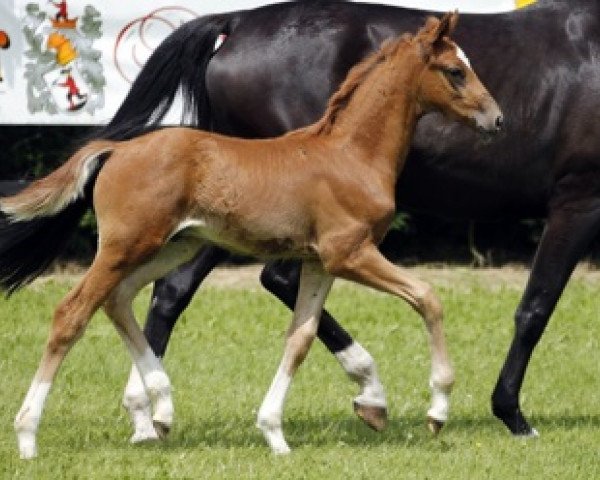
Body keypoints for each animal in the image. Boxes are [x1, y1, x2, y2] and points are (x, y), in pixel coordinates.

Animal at [4, 14, 502, 458]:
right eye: (455, 71)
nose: (496, 119)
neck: (351, 154)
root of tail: (117, 148)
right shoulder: (350, 253)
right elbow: (427, 297)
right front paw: (437, 410)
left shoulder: (319, 263)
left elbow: (300, 339)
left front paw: (275, 433)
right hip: (125, 246)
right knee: (72, 313)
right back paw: (28, 435)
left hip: (174, 246)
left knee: (118, 299)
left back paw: (161, 406)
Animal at [91, 0, 596, 438]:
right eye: (455, 71)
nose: (496, 119)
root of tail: (238, 20)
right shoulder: (578, 200)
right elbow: (533, 307)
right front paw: (509, 414)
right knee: (270, 280)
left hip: (221, 218)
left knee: (173, 290)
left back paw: (149, 411)